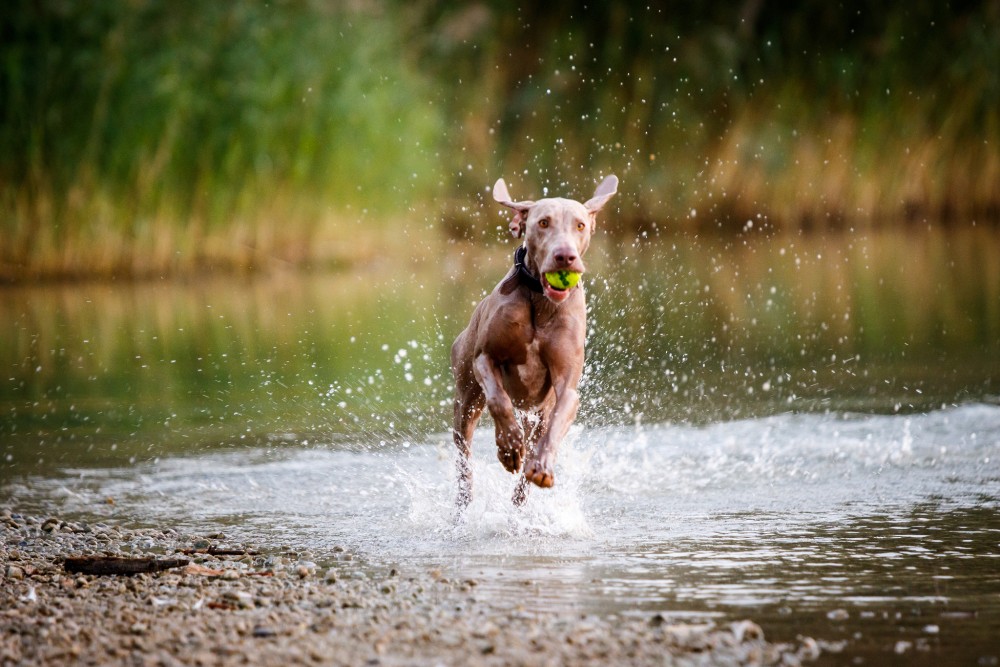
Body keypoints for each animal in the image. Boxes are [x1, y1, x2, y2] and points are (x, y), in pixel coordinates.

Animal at [452, 175, 616, 508]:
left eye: (580, 225)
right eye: (543, 222)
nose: (565, 256)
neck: (539, 300)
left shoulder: (566, 387)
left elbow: (556, 424)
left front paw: (540, 467)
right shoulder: (484, 359)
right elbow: (498, 400)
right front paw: (509, 448)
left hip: (535, 412)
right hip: (465, 401)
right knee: (465, 449)